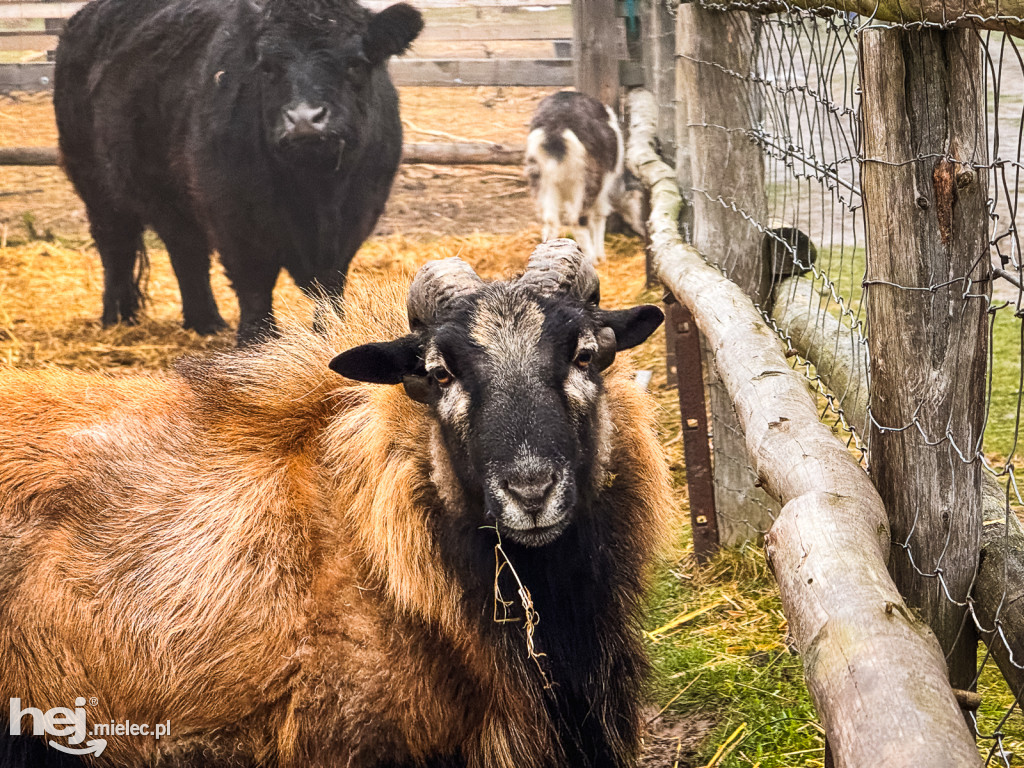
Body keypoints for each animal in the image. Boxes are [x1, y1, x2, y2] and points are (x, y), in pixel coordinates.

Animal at [54, 0, 421, 342]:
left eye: (355, 63)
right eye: (268, 67)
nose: (305, 119)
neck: (317, 190)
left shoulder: (359, 211)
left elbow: (330, 285)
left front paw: (331, 335)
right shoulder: (233, 212)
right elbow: (254, 283)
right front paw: (256, 344)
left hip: (172, 196)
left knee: (186, 251)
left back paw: (205, 322)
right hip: (95, 181)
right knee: (117, 246)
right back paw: (116, 317)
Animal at [524, 91, 643, 262]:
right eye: (638, 198)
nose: (642, 227)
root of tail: (555, 128)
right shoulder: (603, 187)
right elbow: (599, 215)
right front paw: (601, 256)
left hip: (540, 177)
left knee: (551, 219)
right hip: (587, 179)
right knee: (578, 219)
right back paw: (591, 258)